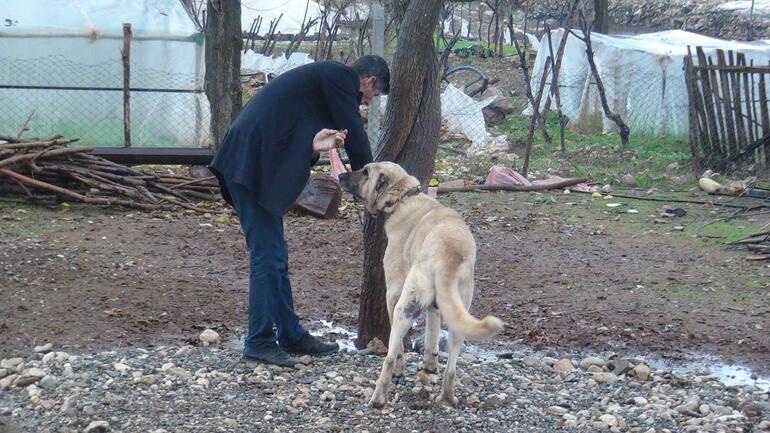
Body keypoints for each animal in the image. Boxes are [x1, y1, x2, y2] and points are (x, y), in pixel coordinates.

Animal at [340, 161, 504, 404]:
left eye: (366, 172)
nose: (340, 175)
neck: (402, 198)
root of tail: (449, 255)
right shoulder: (435, 307)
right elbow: (432, 336)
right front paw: (430, 366)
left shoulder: (393, 295)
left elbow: (399, 350)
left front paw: (401, 371)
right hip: (457, 314)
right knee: (452, 367)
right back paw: (447, 396)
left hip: (404, 308)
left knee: (389, 357)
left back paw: (379, 398)